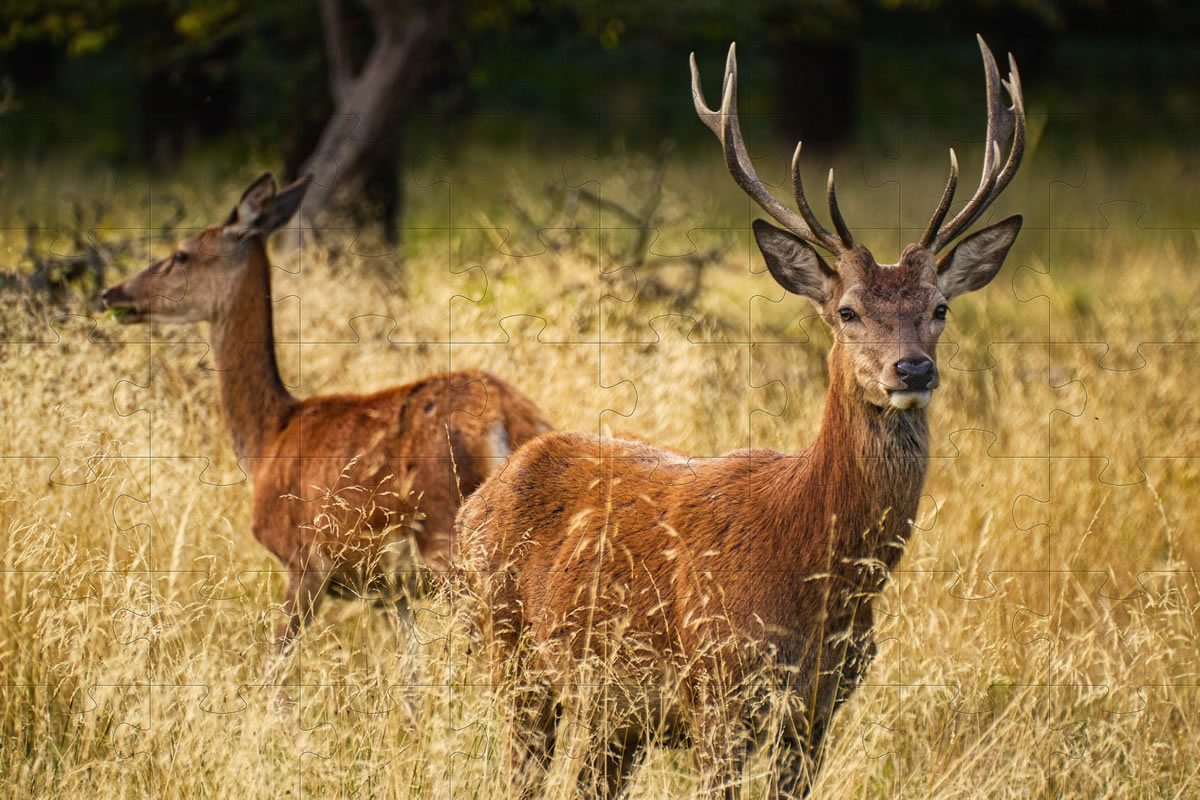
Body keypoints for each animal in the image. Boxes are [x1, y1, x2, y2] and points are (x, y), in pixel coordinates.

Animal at [100, 173, 549, 652]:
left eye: (181, 253)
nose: (110, 293)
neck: (266, 439)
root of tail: (504, 421)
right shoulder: (389, 591)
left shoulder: (303, 560)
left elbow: (275, 659)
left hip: (447, 536)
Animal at [453, 34, 1027, 796]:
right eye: (847, 311)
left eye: (940, 308)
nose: (912, 369)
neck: (817, 579)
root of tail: (481, 497)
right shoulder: (718, 692)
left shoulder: (819, 709)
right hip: (509, 655)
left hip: (611, 714)